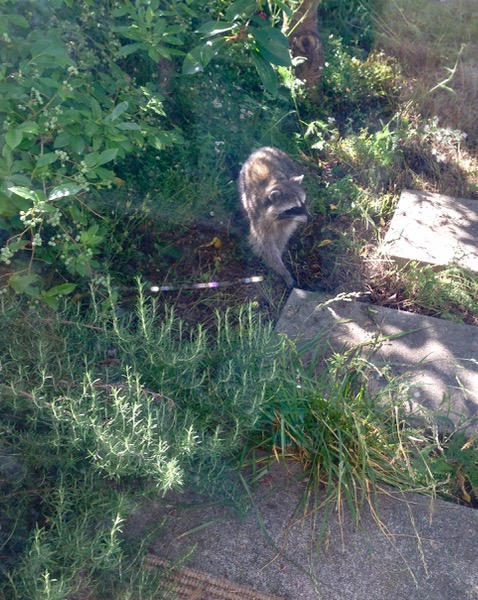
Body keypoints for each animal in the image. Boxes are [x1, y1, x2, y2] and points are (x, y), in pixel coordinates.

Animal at [238, 145, 312, 286]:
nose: (310, 219)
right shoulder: (259, 219)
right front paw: (282, 270)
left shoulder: (288, 221)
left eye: (303, 202)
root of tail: (263, 148)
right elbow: (264, 245)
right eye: (294, 207)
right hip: (242, 182)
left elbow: (281, 237)